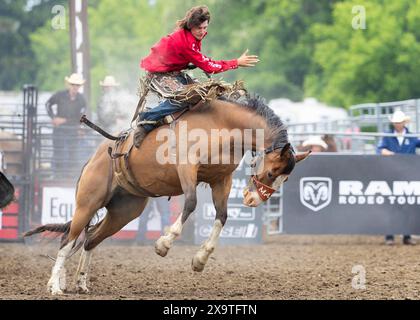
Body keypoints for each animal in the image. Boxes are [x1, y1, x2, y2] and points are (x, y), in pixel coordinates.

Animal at [24, 95, 310, 296]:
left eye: (286, 179)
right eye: (272, 172)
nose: (254, 200)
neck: (223, 126)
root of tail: (95, 157)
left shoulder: (221, 180)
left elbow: (222, 216)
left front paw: (200, 260)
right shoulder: (187, 168)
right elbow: (191, 203)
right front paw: (164, 243)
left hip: (125, 211)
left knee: (90, 238)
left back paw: (80, 283)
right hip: (88, 202)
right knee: (67, 240)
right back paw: (55, 286)